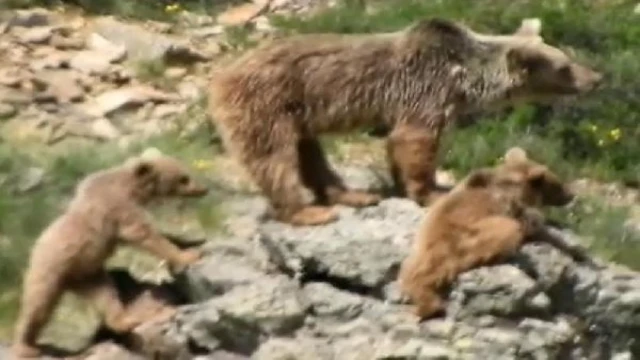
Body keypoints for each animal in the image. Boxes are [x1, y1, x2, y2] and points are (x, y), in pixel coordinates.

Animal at [11, 148, 208, 358]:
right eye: (184, 178)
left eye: (186, 172)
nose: (203, 189)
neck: (133, 189)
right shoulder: (117, 206)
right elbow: (142, 233)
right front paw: (188, 256)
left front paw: (190, 242)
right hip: (50, 269)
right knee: (37, 306)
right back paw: (25, 346)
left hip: (89, 274)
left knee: (106, 295)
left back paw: (126, 321)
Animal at [208, 16, 604, 226]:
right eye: (565, 66)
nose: (596, 77)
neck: (465, 79)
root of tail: (222, 74)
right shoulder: (426, 89)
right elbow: (416, 139)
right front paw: (431, 190)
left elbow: (400, 144)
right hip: (266, 102)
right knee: (274, 157)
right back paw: (308, 212)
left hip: (297, 115)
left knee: (309, 155)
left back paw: (354, 195)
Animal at [396, 148, 576, 320]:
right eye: (558, 184)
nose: (571, 194)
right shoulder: (513, 207)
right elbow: (534, 223)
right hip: (475, 236)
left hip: (416, 253)